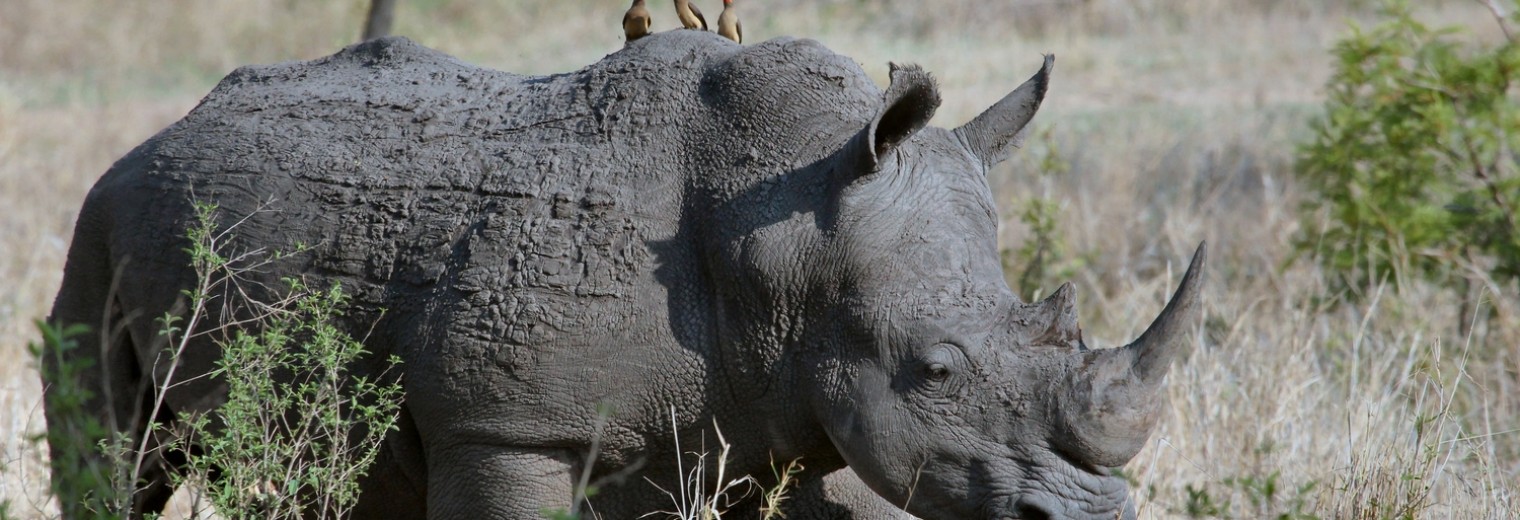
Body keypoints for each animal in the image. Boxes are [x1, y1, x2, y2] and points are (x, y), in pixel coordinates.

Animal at [47, 30, 1203, 516]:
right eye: (937, 369)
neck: (785, 243)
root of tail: (160, 133)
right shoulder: (509, 427)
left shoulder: (790, 408)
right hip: (98, 222)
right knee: (113, 445)